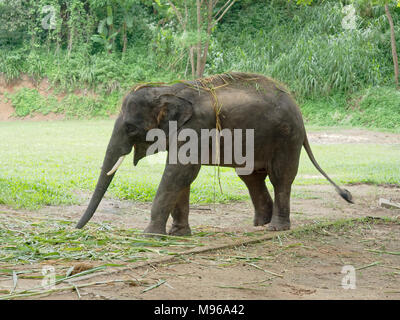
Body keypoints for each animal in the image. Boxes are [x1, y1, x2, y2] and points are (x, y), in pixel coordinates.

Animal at [76, 72, 354, 235]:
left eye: (130, 128)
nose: (76, 229)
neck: (168, 90)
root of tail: (298, 109)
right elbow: (181, 176)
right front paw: (178, 235)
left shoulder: (197, 127)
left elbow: (180, 172)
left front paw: (150, 236)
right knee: (251, 177)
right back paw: (259, 224)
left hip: (287, 138)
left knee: (280, 178)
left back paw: (275, 228)